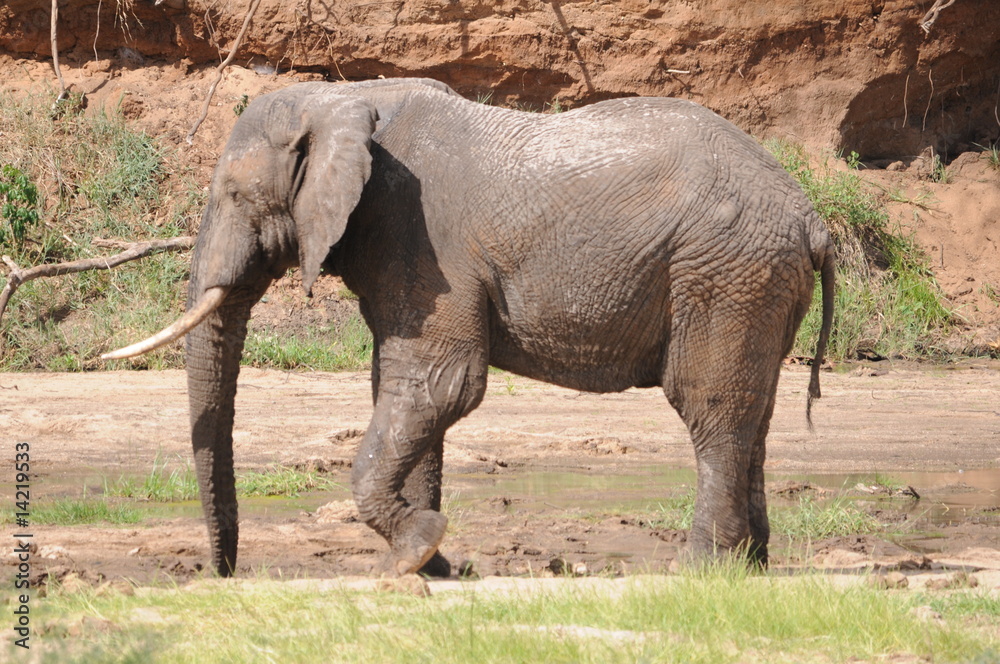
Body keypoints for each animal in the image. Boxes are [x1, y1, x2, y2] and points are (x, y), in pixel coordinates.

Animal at [105, 77, 834, 578]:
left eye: (232, 194)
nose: (224, 574)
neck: (341, 97)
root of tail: (812, 218)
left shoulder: (421, 236)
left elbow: (442, 382)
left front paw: (414, 550)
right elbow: (408, 389)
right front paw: (430, 565)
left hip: (724, 273)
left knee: (711, 408)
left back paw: (701, 570)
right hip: (758, 284)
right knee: (755, 413)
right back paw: (751, 568)